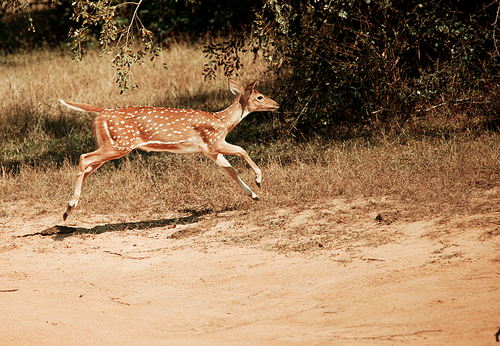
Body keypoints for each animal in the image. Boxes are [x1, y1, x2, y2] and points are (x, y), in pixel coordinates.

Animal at [59, 79, 280, 220]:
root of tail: (101, 113)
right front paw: (259, 180)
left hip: (109, 144)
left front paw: (253, 195)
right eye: (260, 97)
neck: (223, 121)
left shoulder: (209, 150)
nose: (276, 104)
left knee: (88, 167)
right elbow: (243, 150)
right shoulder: (214, 140)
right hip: (119, 144)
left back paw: (68, 209)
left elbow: (230, 170)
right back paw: (71, 204)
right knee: (84, 158)